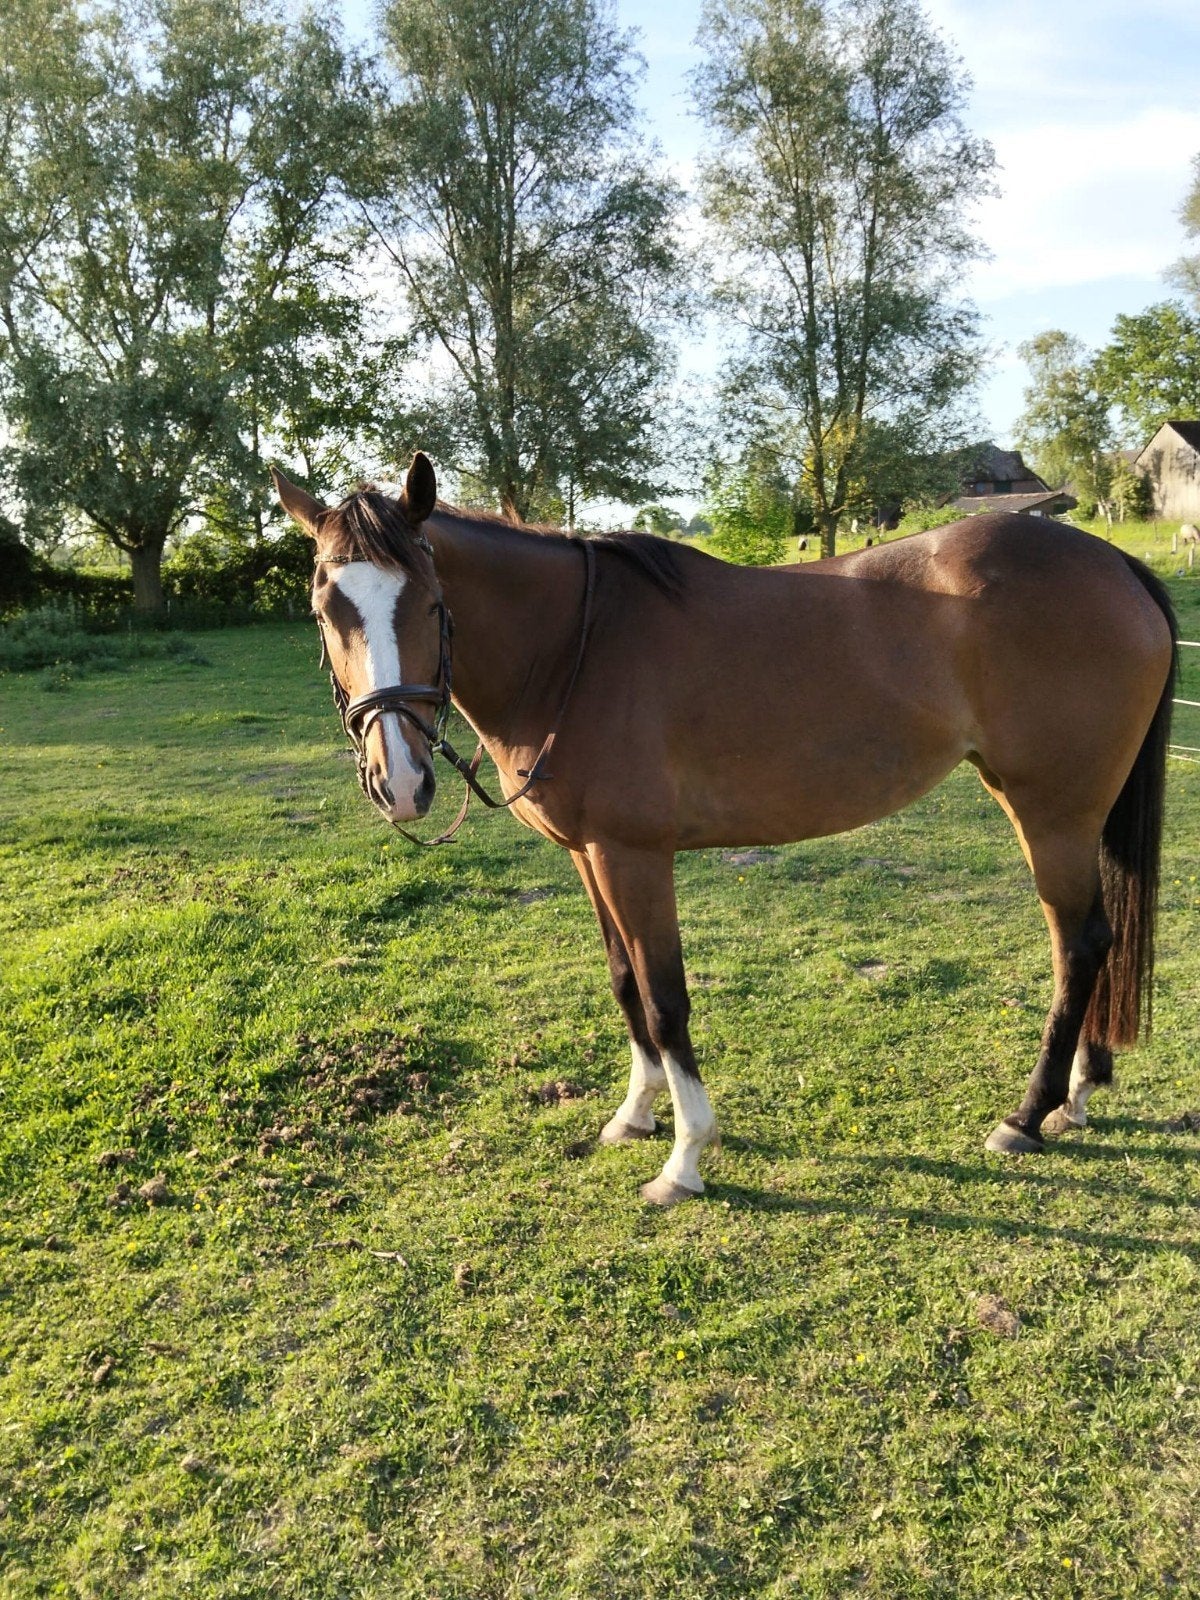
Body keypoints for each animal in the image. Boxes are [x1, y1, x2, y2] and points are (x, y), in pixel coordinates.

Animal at [272, 455, 1177, 1207]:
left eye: (431, 603)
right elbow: (624, 985)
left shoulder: (636, 858)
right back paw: (1078, 1096)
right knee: (1095, 940)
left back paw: (1026, 1115)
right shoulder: (591, 858)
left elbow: (665, 1000)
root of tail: (1117, 564)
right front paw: (633, 1117)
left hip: (1051, 812)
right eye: (324, 608)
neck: (574, 647)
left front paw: (684, 1158)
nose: (399, 782)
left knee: (1079, 944)